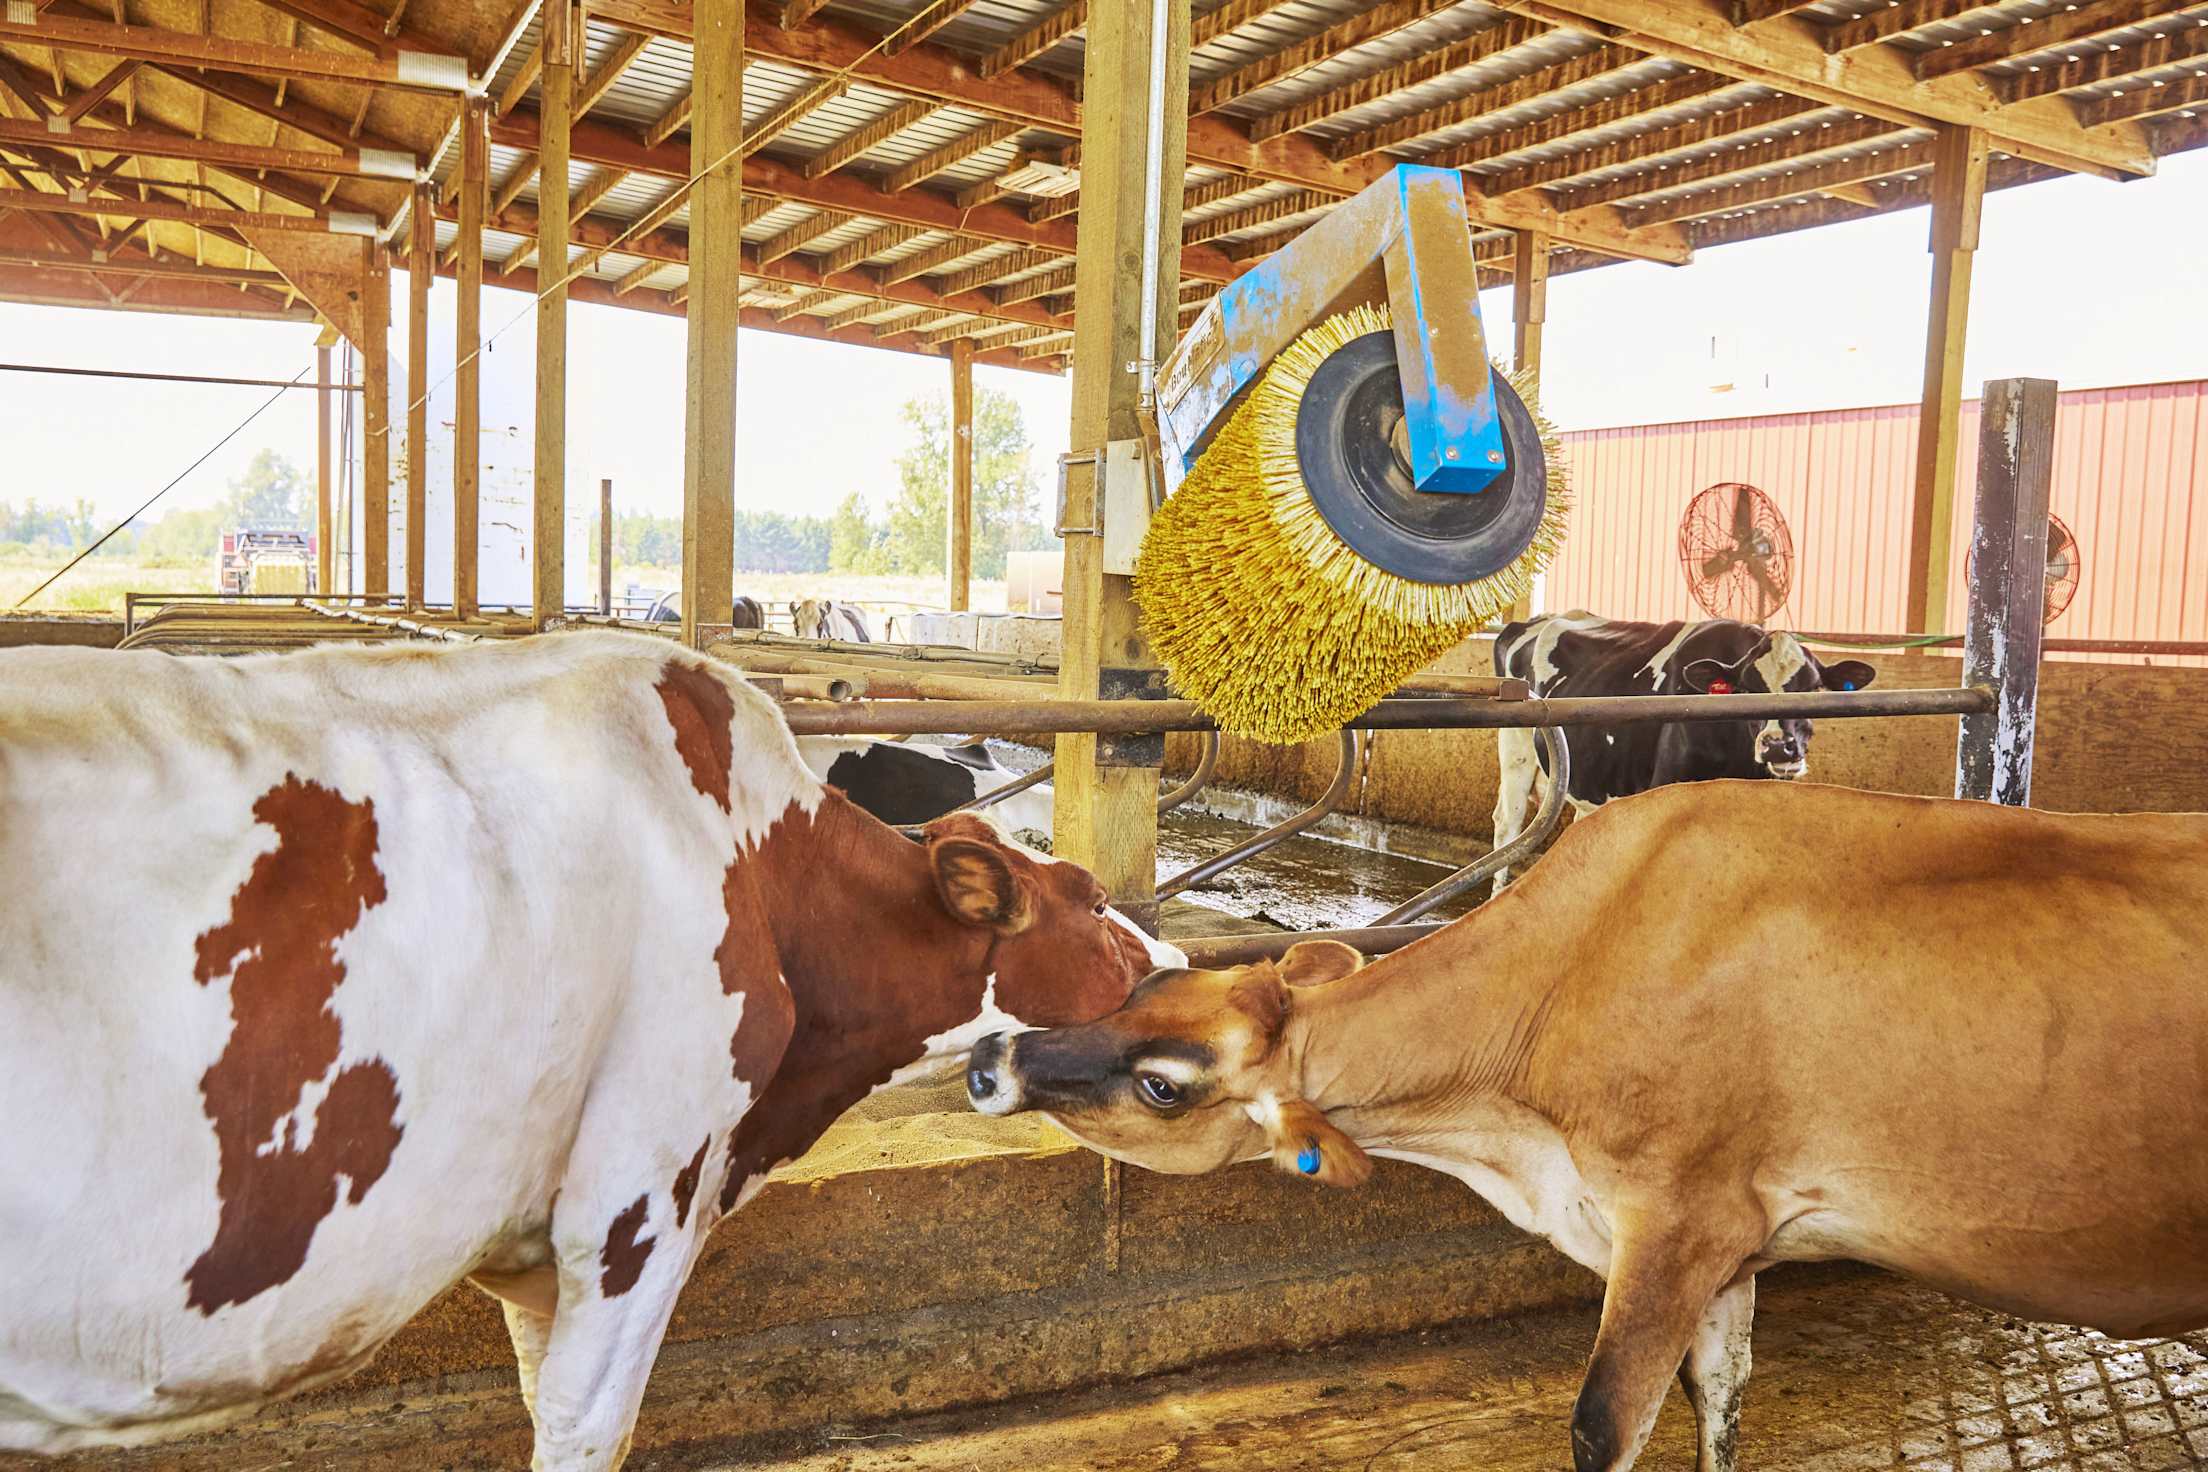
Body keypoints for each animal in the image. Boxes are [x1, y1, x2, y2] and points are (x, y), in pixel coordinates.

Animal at [966, 779, 2208, 1472]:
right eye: (1136, 988)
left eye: (1164, 1083)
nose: (989, 1060)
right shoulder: (1735, 1242)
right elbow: (1722, 1401)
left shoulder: (1677, 1215)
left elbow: (1602, 1425)